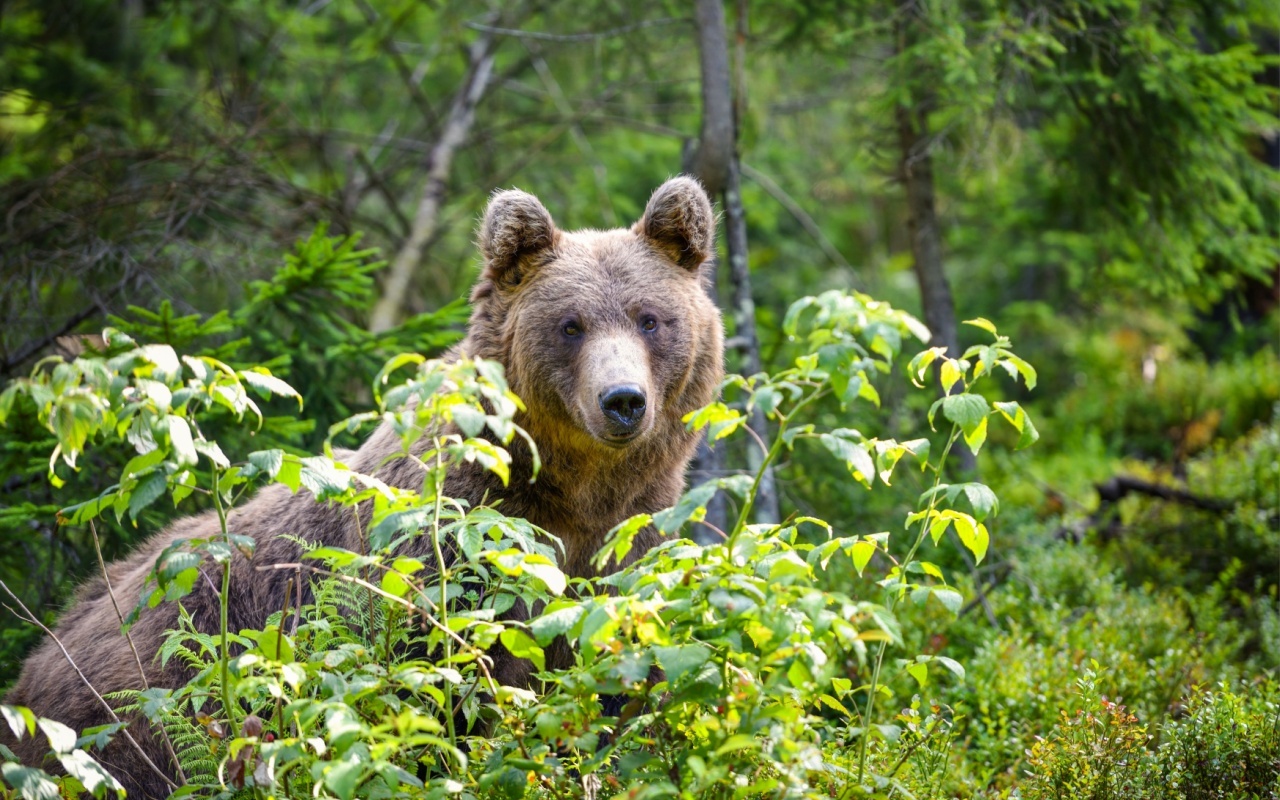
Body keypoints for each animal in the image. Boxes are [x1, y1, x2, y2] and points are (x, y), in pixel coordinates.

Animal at [3, 176, 724, 799]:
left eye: (649, 318)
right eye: (571, 324)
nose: (622, 401)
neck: (570, 490)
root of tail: (34, 667)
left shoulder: (627, 545)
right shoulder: (447, 555)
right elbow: (437, 692)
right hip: (140, 705)